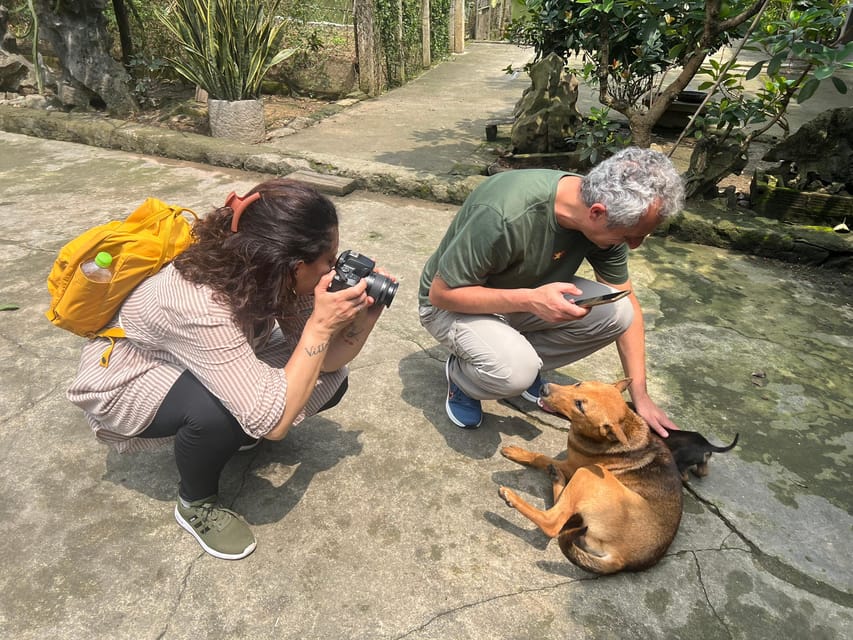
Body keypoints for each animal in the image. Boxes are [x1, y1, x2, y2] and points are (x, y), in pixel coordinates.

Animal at [496, 380, 684, 576]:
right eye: (579, 384)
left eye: (580, 406)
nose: (544, 388)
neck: (626, 426)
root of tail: (622, 561)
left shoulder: (573, 466)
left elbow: (540, 457)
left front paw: (518, 453)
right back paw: (557, 477)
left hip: (587, 472)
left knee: (554, 523)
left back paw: (513, 496)